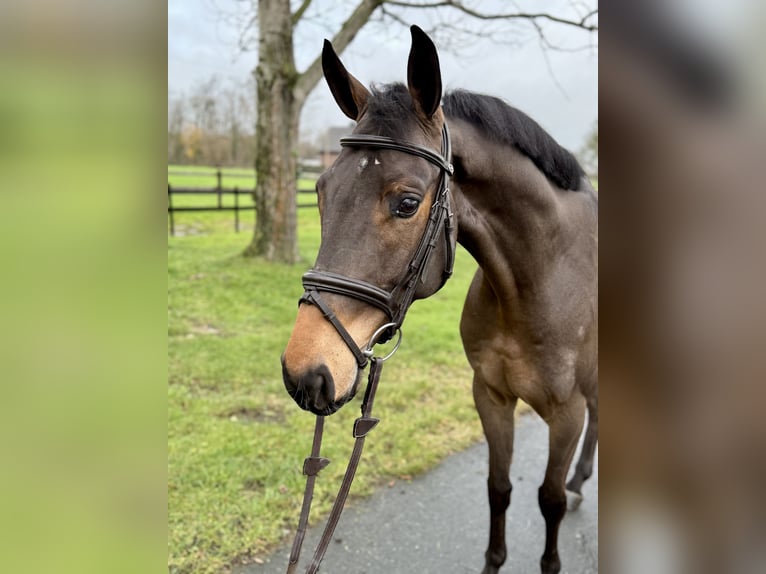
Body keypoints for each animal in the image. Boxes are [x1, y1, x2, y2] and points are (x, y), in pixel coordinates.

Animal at [281, 25, 598, 574]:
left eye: (408, 203)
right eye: (320, 191)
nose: (305, 371)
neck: (540, 281)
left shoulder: (566, 413)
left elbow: (549, 499)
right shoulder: (490, 396)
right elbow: (498, 488)